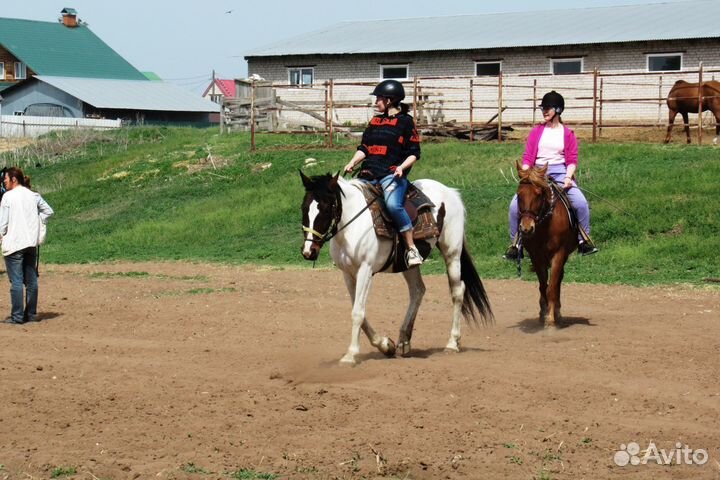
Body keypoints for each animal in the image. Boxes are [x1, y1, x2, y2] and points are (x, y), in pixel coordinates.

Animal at [300, 172, 496, 364]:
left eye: (326, 208)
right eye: (304, 208)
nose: (309, 251)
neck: (353, 224)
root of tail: (451, 192)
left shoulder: (365, 269)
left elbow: (357, 312)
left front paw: (350, 355)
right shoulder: (347, 273)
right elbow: (359, 311)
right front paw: (386, 345)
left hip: (452, 253)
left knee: (457, 291)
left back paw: (452, 343)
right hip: (408, 264)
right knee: (418, 290)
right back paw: (404, 341)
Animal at [516, 163, 576, 328]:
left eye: (538, 194)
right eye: (519, 195)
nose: (526, 228)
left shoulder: (559, 254)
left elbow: (552, 288)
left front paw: (550, 319)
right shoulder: (536, 256)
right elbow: (543, 286)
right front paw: (543, 314)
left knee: (558, 281)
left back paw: (558, 313)